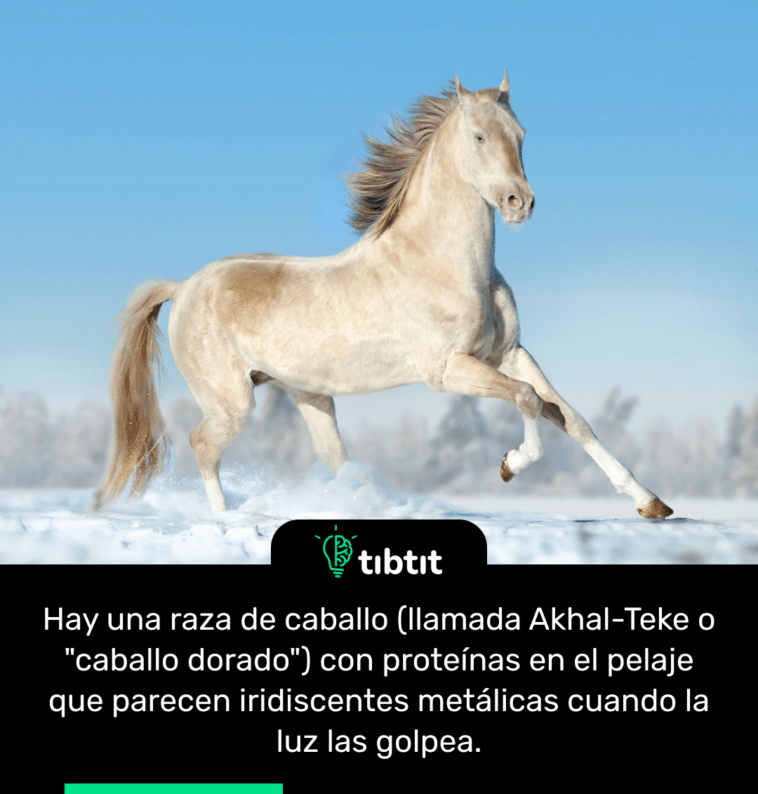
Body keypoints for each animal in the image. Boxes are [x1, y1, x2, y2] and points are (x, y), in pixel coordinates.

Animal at [92, 71, 673, 520]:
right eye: (479, 137)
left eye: (521, 133)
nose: (519, 203)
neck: (446, 264)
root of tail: (185, 285)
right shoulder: (448, 370)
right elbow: (529, 400)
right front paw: (510, 466)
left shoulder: (508, 354)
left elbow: (569, 415)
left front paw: (651, 504)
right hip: (232, 401)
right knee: (203, 446)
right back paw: (225, 520)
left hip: (309, 395)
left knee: (336, 461)